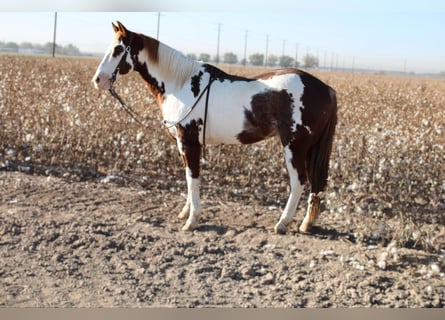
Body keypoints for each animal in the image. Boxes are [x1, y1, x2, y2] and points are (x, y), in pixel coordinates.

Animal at [93, 21, 336, 234]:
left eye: (118, 49)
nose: (98, 80)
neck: (181, 85)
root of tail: (325, 88)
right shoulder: (183, 145)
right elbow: (189, 179)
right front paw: (186, 213)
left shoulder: (189, 143)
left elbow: (193, 179)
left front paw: (192, 221)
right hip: (308, 149)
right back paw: (305, 223)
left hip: (294, 147)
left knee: (299, 182)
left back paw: (282, 223)